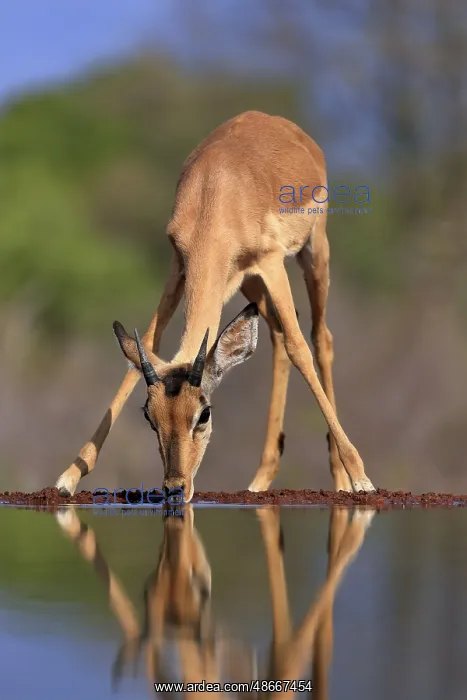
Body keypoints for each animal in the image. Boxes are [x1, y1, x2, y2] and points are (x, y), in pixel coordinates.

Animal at [55, 110, 376, 502]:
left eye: (204, 414)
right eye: (149, 416)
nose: (175, 487)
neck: (216, 194)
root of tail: (282, 124)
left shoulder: (271, 262)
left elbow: (300, 348)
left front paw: (361, 477)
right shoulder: (179, 267)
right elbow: (147, 345)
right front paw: (69, 476)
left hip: (312, 252)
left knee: (318, 337)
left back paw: (342, 478)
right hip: (247, 282)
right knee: (277, 336)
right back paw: (260, 478)